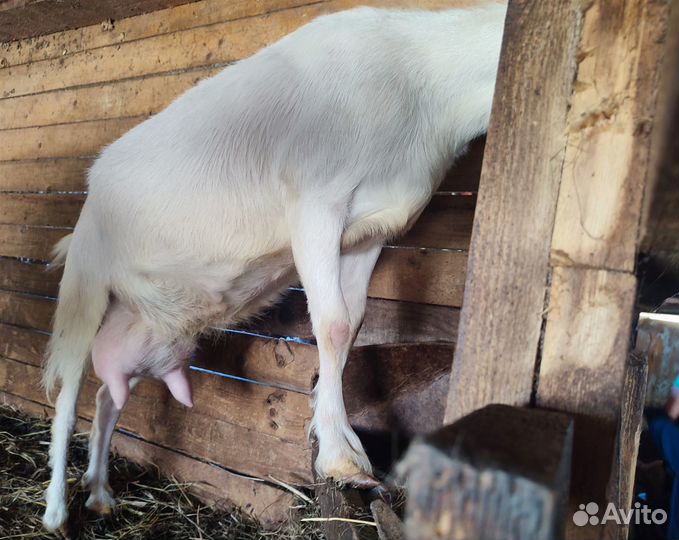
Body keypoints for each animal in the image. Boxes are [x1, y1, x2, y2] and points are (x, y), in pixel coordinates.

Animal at [41, 3, 506, 531]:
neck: (419, 77)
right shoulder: (315, 204)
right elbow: (333, 323)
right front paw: (342, 459)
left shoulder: (369, 233)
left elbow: (352, 324)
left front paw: (332, 437)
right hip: (86, 286)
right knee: (68, 393)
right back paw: (56, 511)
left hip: (146, 329)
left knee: (107, 396)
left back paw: (100, 493)